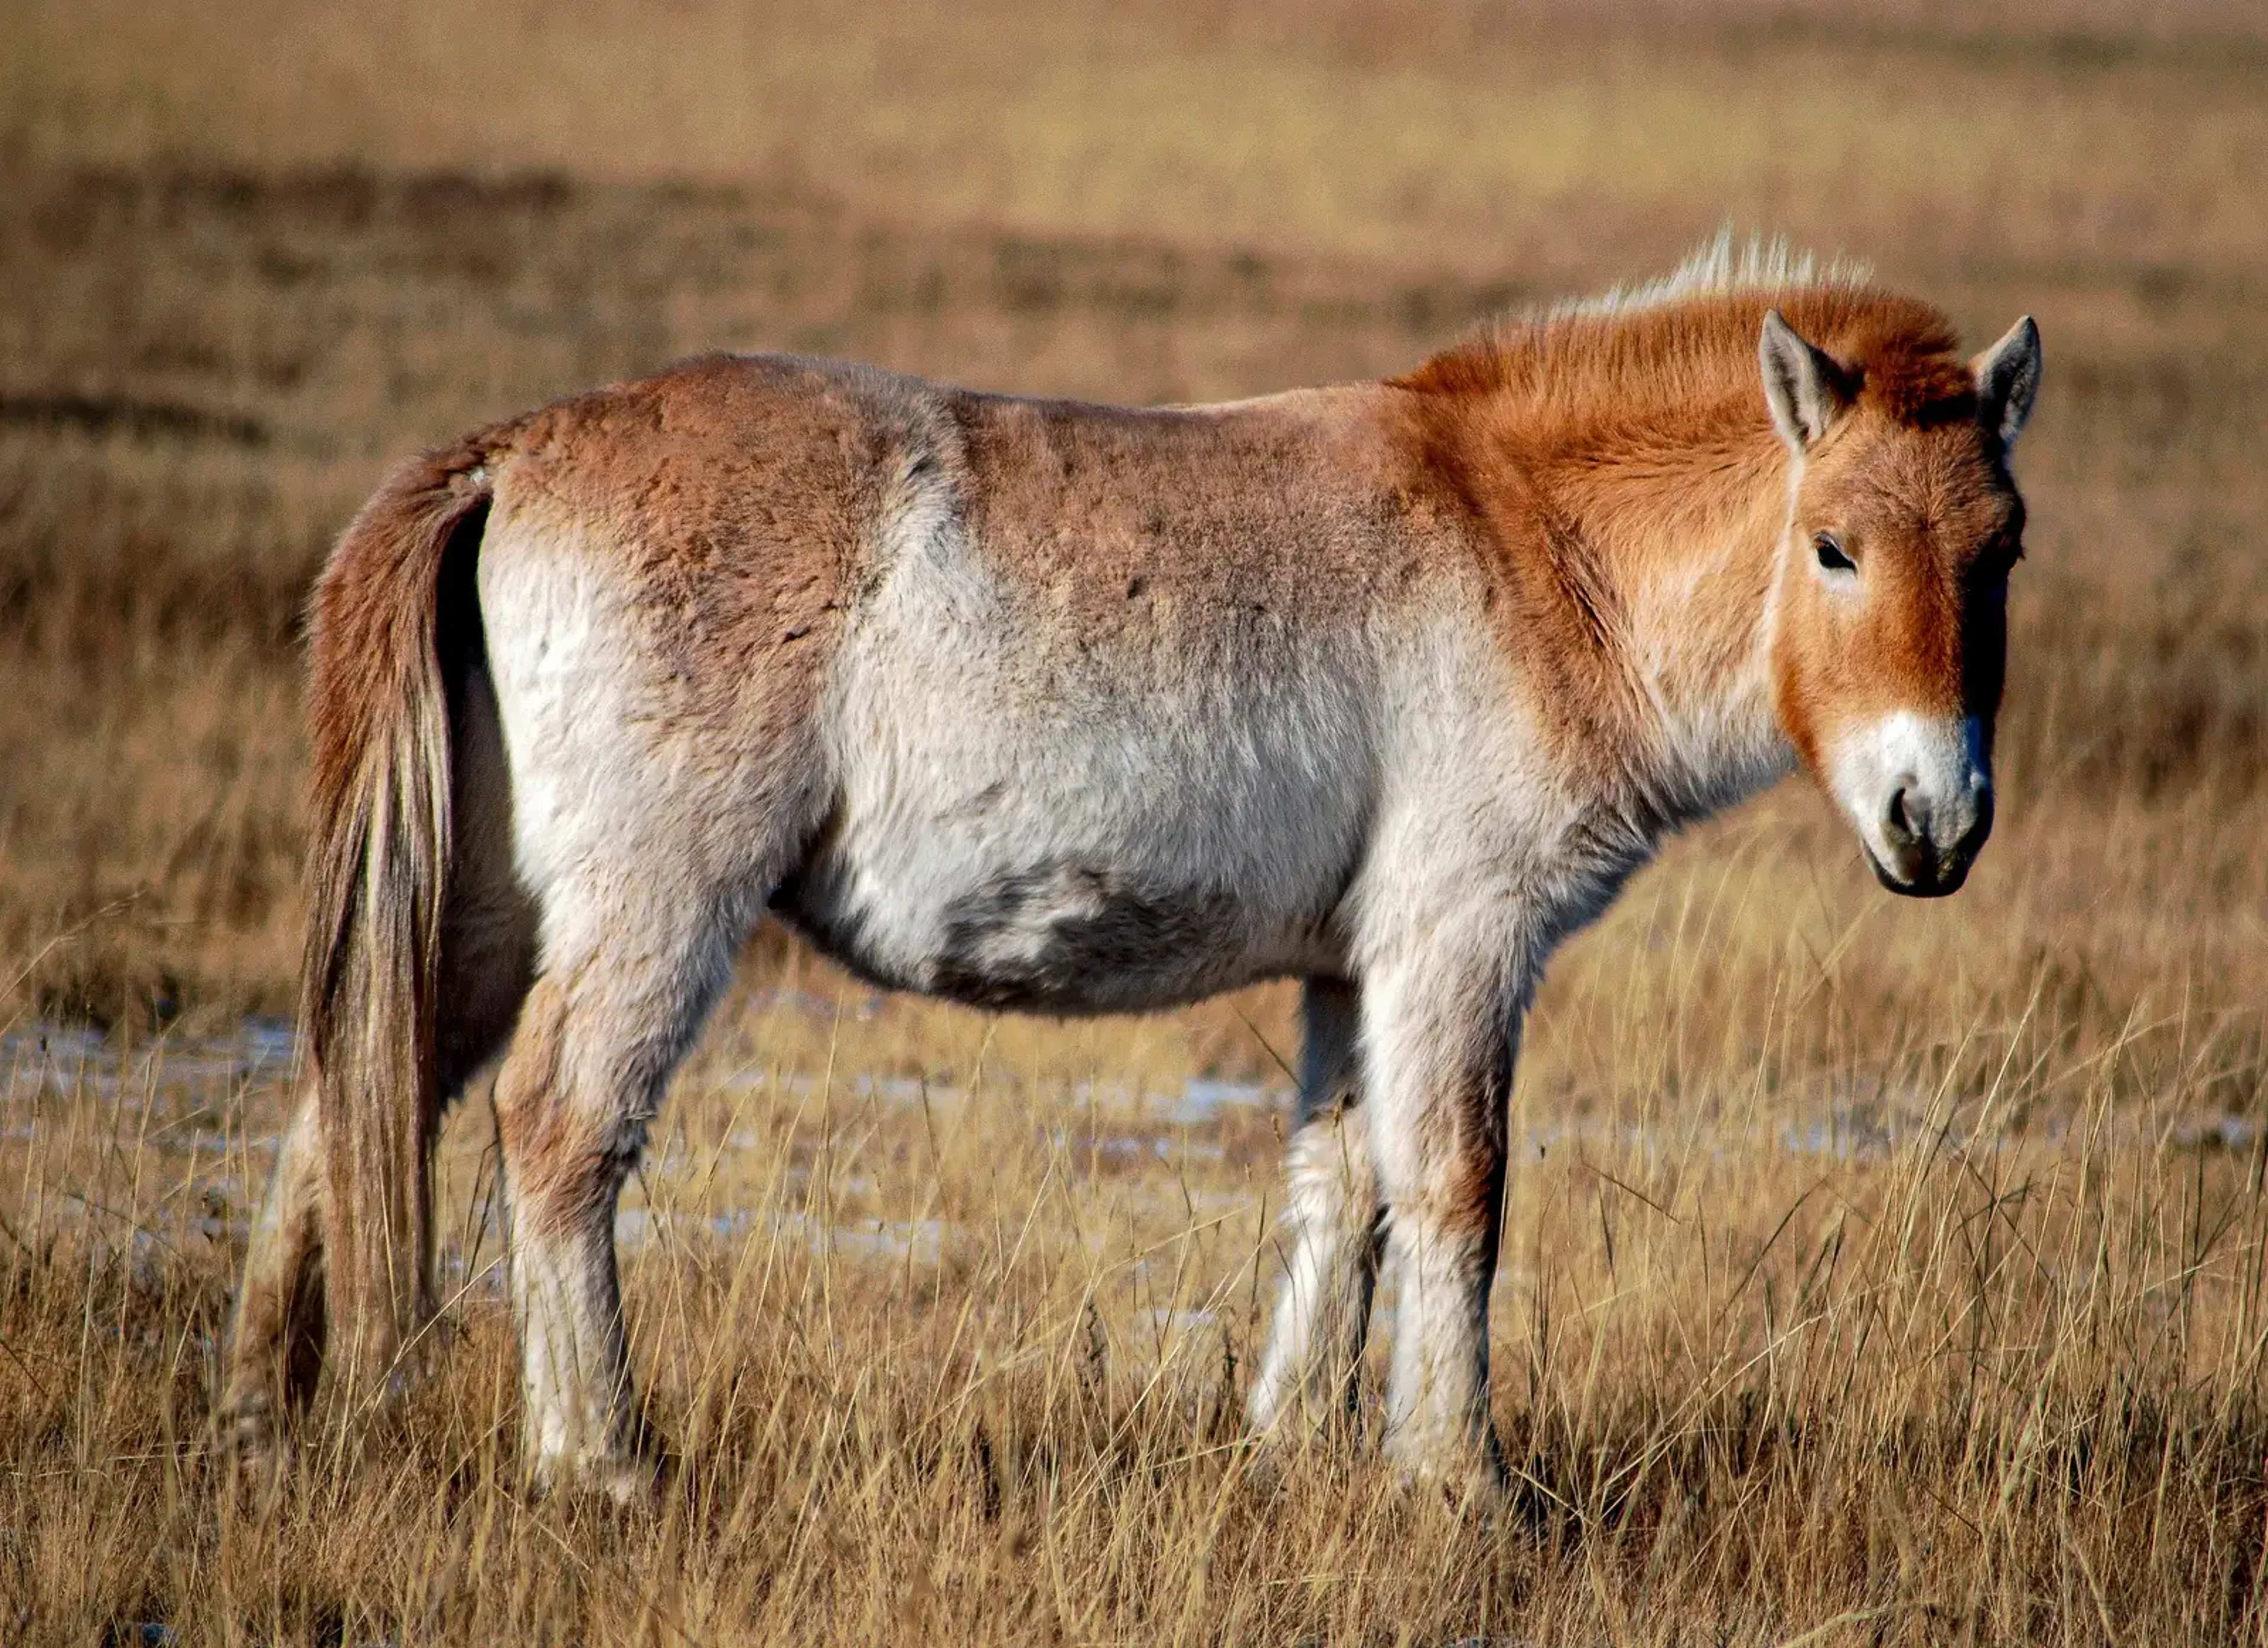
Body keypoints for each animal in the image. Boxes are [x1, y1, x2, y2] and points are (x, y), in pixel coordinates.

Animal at [220, 238, 2040, 1500]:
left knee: (359, 1082)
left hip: (484, 909)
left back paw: (263, 1413)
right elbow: (1457, 1189)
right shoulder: (1459, 944)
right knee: (558, 1126)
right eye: (1832, 546)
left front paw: (1294, 1456)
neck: (1529, 543)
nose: (1936, 820)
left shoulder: (1353, 968)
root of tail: (515, 451)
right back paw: (602, 1456)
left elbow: (1341, 1190)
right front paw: (1463, 1483)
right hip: (658, 902)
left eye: (2004, 549)